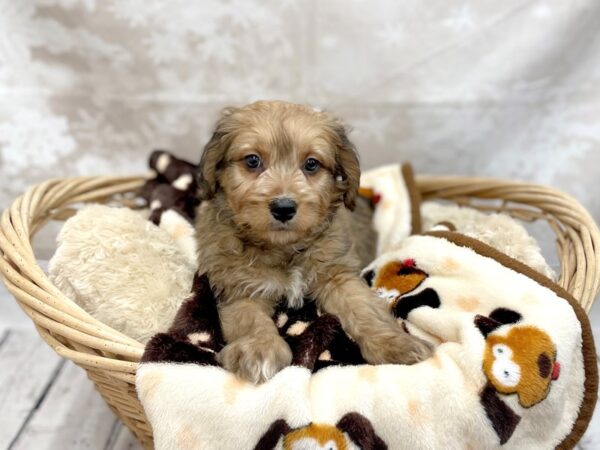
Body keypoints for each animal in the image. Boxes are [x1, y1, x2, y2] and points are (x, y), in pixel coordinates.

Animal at [197, 101, 432, 384]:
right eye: (252, 160)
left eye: (311, 164)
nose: (283, 208)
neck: (284, 248)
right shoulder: (240, 287)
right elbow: (249, 319)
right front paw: (260, 349)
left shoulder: (338, 275)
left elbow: (364, 308)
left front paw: (395, 344)